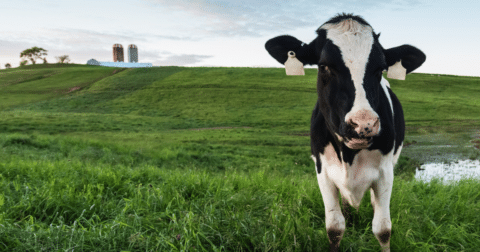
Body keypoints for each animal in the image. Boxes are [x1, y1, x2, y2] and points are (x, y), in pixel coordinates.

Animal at [264, 13, 426, 252]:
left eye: (380, 68)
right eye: (324, 66)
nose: (363, 124)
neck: (350, 154)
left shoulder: (386, 171)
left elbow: (383, 228)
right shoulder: (323, 170)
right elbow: (334, 227)